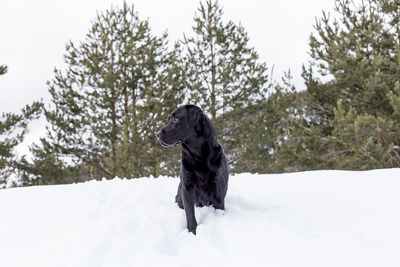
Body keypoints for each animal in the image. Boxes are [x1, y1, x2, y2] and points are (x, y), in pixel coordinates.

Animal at [158, 105, 230, 236]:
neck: (198, 154)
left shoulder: (218, 191)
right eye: (168, 119)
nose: (157, 134)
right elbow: (190, 214)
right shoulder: (187, 188)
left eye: (175, 119)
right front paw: (192, 232)